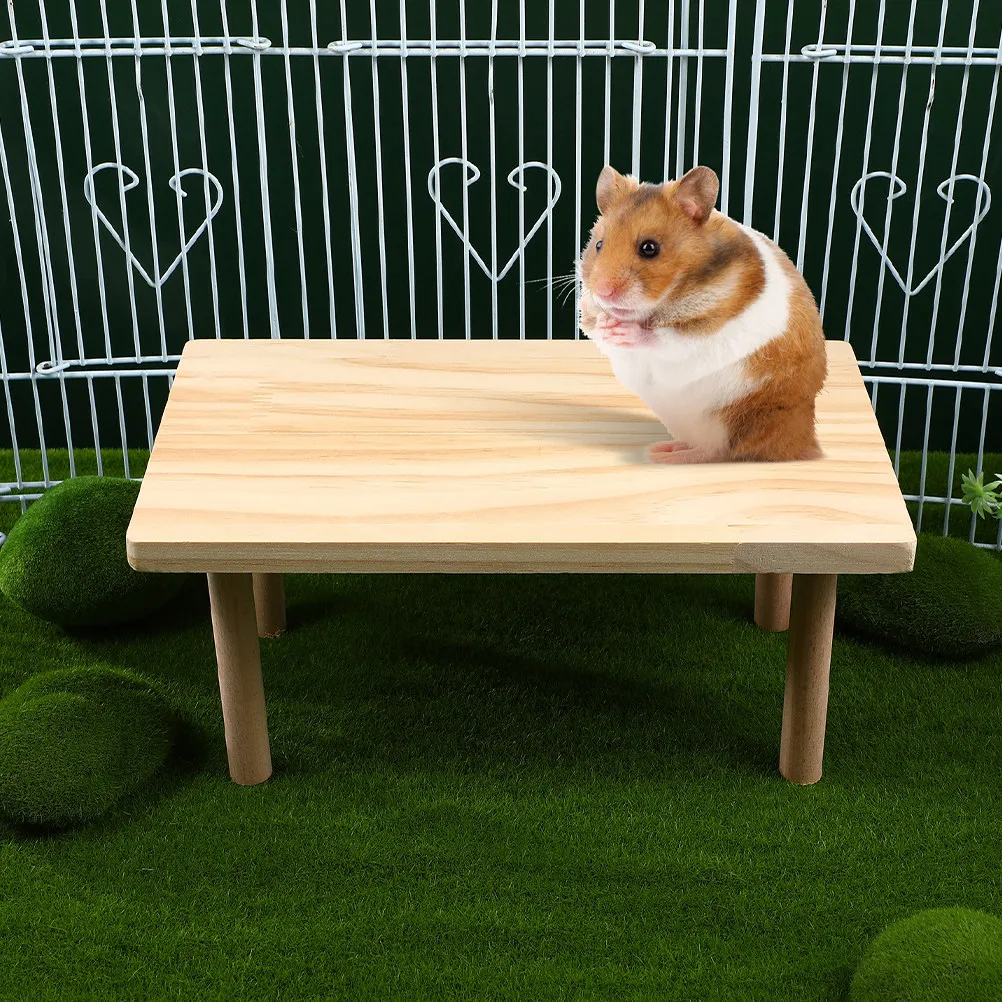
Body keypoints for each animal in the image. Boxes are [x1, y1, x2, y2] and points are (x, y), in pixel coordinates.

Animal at [577, 164, 827, 464]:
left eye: (649, 248)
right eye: (598, 245)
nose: (602, 291)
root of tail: (805, 441)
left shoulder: (705, 331)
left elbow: (665, 338)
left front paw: (626, 330)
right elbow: (596, 329)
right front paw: (606, 324)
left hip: (734, 419)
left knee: (719, 450)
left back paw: (663, 456)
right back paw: (664, 448)